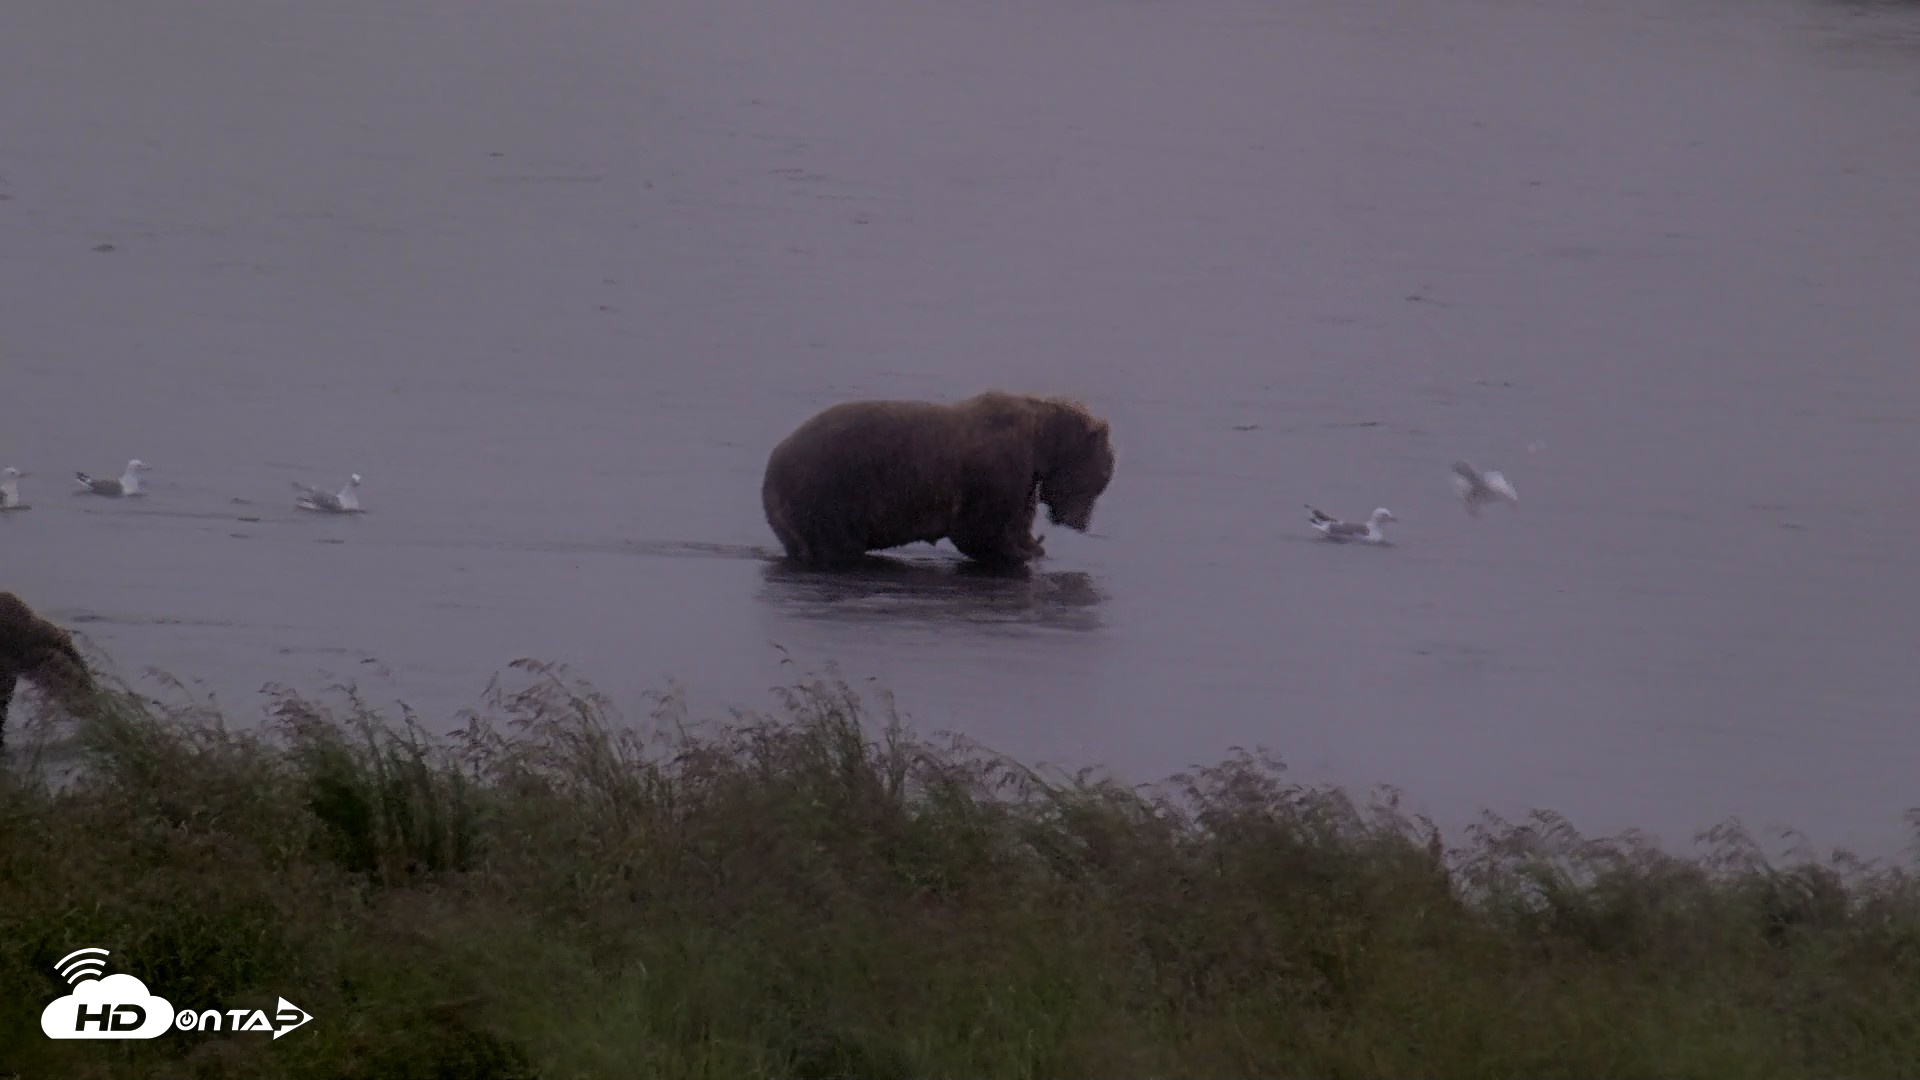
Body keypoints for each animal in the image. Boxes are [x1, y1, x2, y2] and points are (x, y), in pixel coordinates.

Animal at [761, 389, 1116, 569]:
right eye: (1103, 478)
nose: (1081, 523)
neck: (1041, 443)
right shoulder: (997, 470)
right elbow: (979, 529)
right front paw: (1021, 551)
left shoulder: (1026, 480)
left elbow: (1014, 519)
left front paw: (1031, 543)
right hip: (827, 492)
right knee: (836, 544)